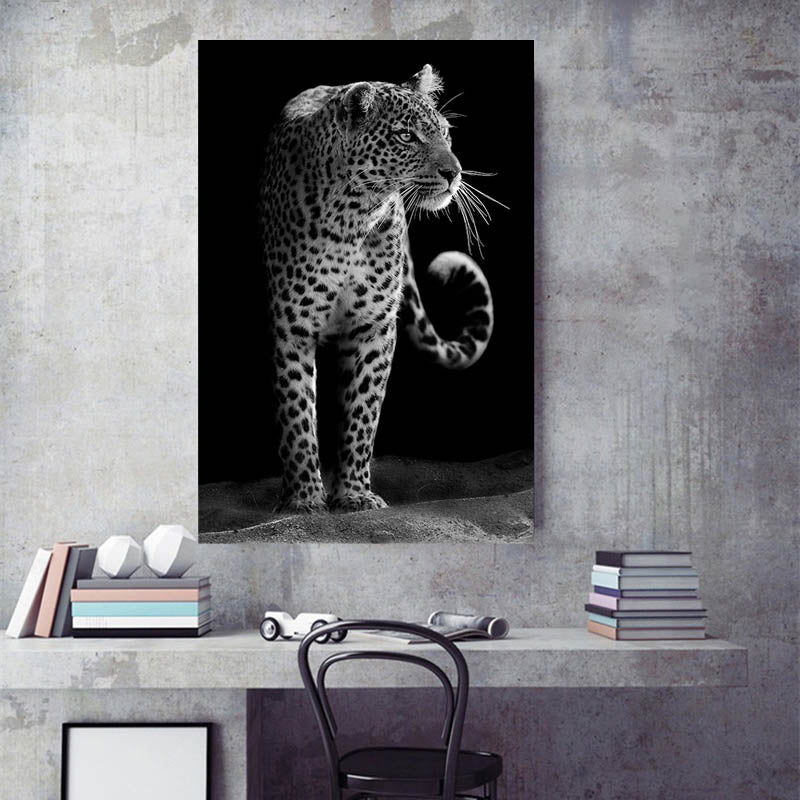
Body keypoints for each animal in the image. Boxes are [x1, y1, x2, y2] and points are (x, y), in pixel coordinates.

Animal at [260, 64, 494, 514]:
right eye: (406, 136)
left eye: (445, 133)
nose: (454, 173)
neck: (352, 215)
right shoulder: (292, 325)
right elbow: (297, 412)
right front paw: (303, 499)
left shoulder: (374, 327)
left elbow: (362, 412)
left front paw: (353, 493)